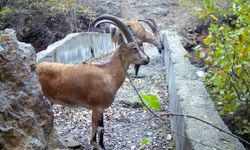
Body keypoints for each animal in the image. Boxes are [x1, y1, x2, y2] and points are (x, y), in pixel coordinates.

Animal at [36, 14, 149, 150]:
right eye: (134, 48)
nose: (147, 59)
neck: (109, 73)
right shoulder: (96, 107)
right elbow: (98, 127)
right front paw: (97, 145)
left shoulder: (101, 109)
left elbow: (101, 127)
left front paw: (102, 145)